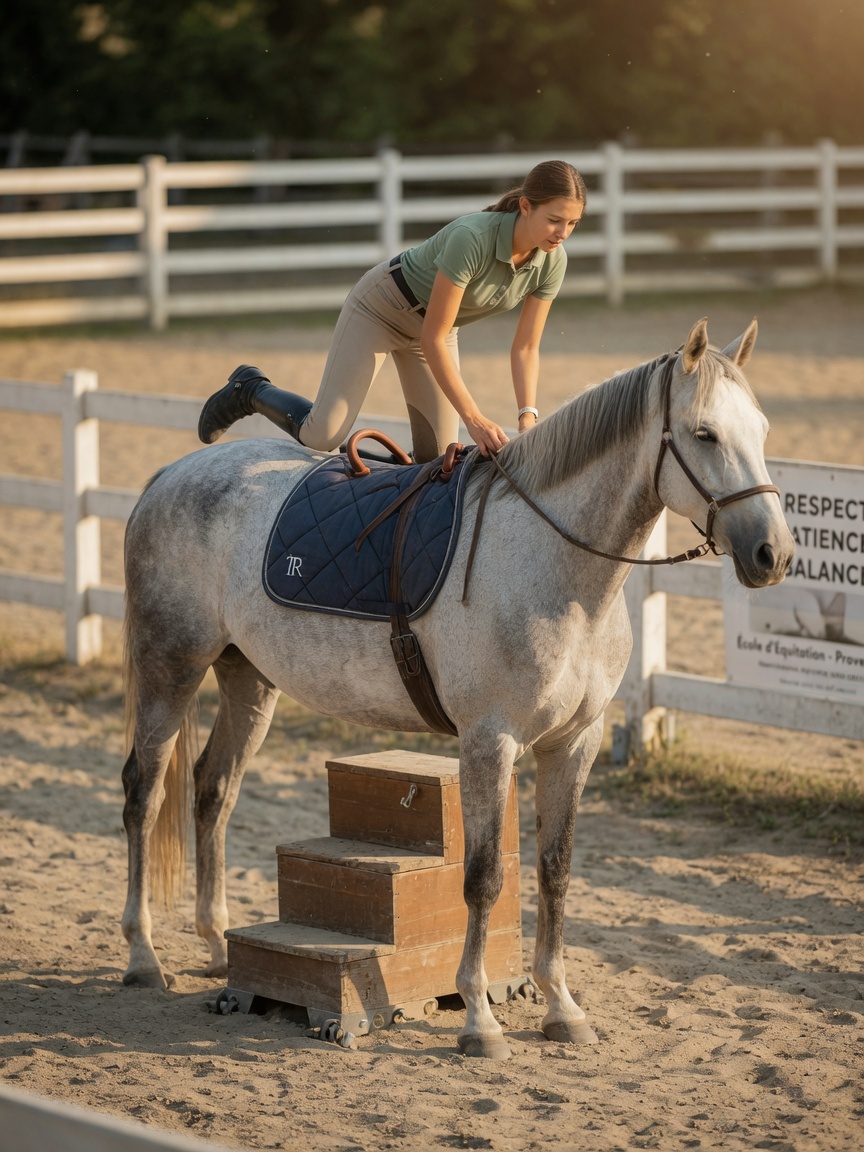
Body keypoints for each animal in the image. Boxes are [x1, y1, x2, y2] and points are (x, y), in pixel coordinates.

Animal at [120, 317, 793, 1059]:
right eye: (704, 434)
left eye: (763, 429)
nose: (773, 554)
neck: (553, 563)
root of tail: (170, 475)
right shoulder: (489, 743)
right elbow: (484, 876)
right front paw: (479, 1017)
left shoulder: (574, 743)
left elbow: (555, 871)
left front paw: (561, 1006)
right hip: (170, 668)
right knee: (144, 794)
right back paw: (142, 956)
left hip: (248, 678)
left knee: (213, 790)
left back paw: (216, 946)